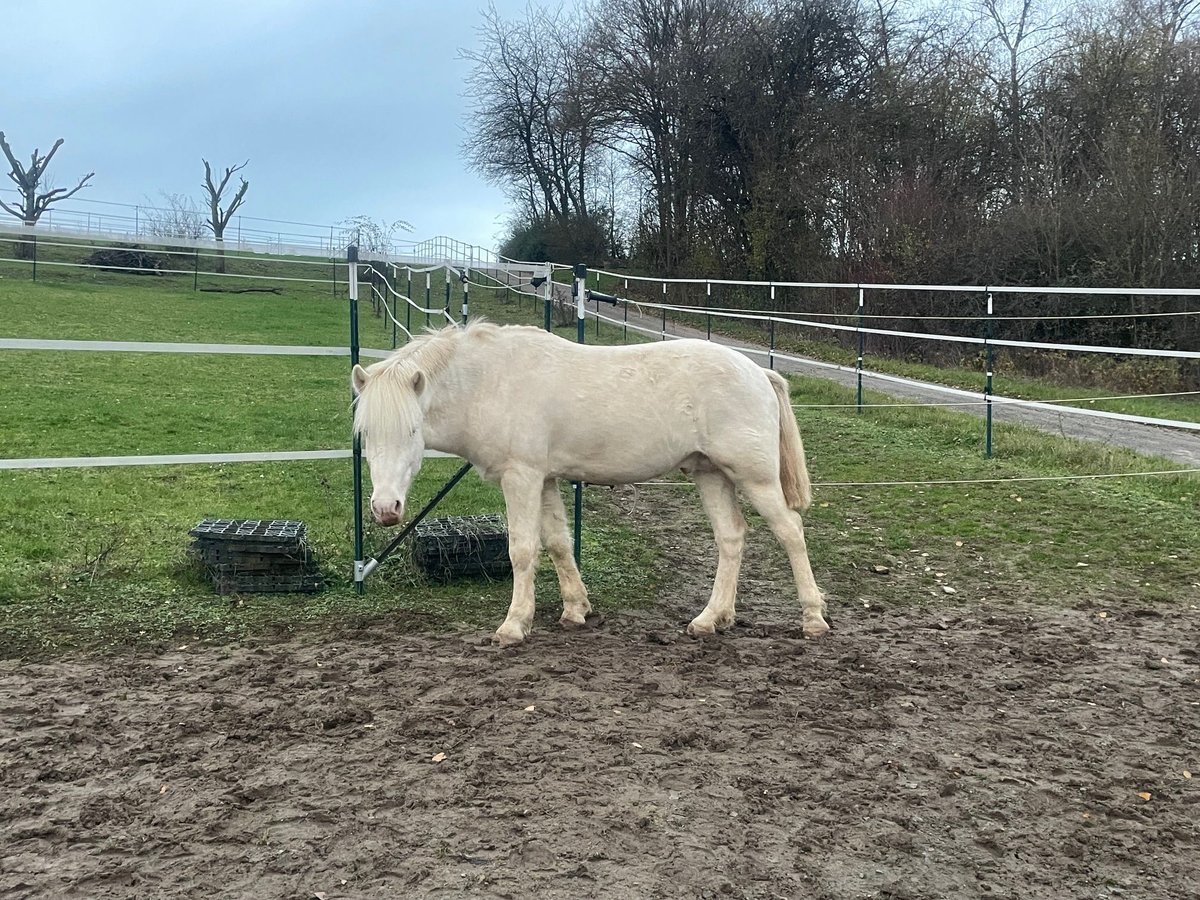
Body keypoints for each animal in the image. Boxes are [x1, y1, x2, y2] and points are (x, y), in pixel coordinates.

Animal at [350, 324, 830, 648]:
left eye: (412, 430)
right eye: (366, 434)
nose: (386, 509)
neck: (492, 381)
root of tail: (759, 373)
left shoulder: (521, 477)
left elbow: (522, 549)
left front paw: (514, 625)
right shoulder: (544, 479)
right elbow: (558, 543)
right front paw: (575, 610)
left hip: (754, 477)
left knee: (790, 531)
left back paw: (813, 618)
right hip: (710, 473)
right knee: (731, 537)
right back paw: (711, 619)